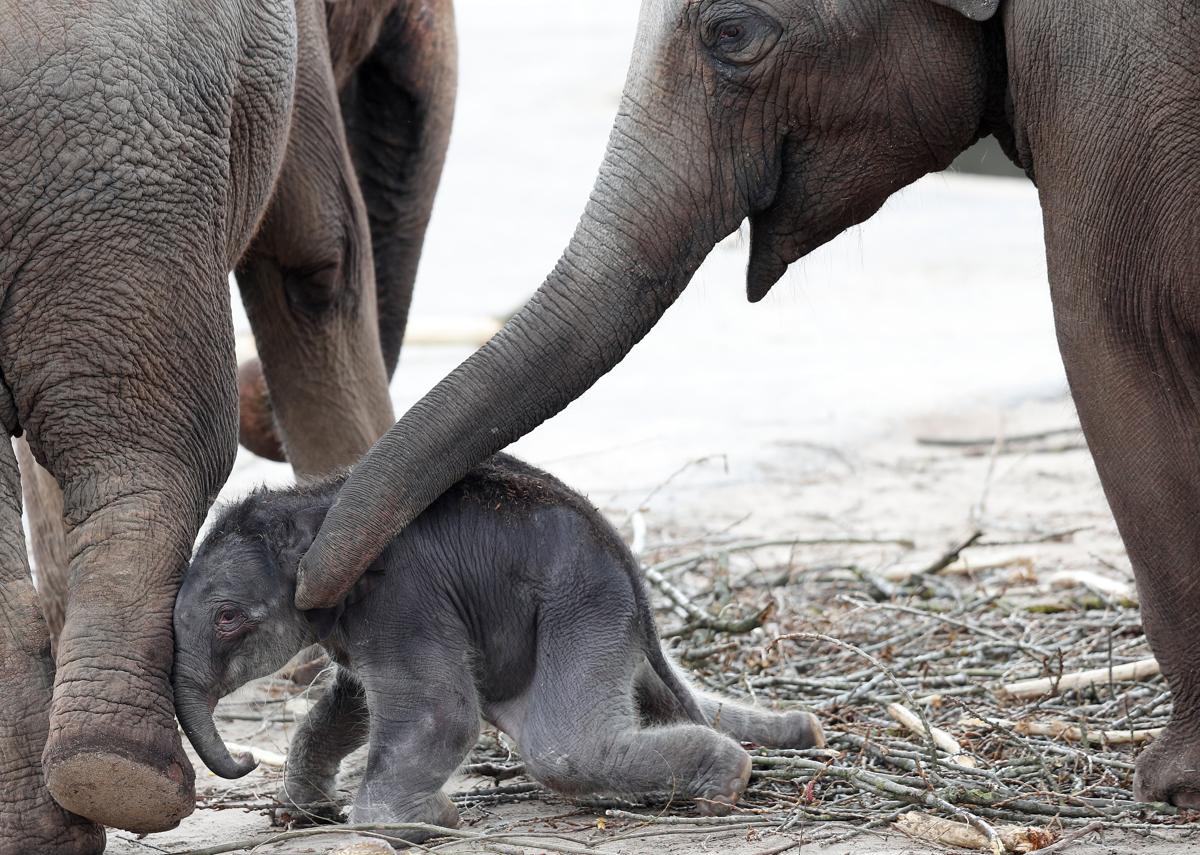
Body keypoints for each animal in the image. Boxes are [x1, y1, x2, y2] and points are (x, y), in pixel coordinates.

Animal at [171, 453, 825, 835]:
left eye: (227, 617)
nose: (245, 761)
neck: (319, 505)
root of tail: (628, 565)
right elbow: (352, 704)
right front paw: (300, 812)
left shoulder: (403, 601)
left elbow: (442, 714)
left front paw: (431, 818)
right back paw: (799, 733)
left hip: (582, 604)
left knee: (564, 748)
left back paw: (728, 782)